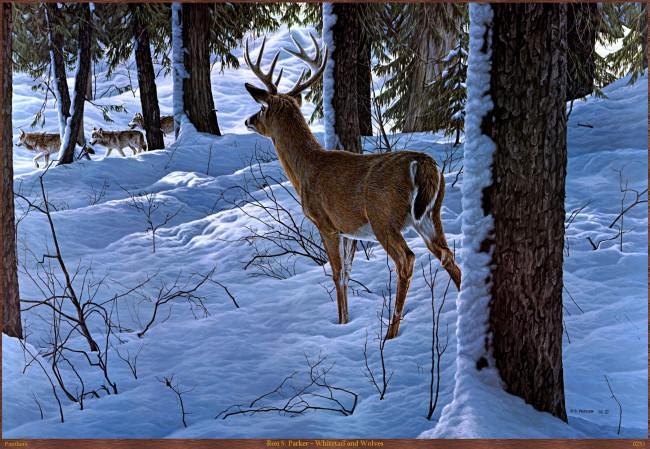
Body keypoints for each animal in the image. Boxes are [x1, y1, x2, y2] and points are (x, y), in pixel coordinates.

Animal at [243, 34, 461, 339]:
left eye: (262, 108)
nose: (248, 120)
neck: (306, 168)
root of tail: (423, 164)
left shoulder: (325, 221)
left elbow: (336, 273)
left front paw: (340, 323)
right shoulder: (349, 229)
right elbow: (346, 273)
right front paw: (346, 322)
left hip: (384, 216)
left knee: (406, 260)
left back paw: (390, 334)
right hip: (430, 214)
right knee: (447, 255)